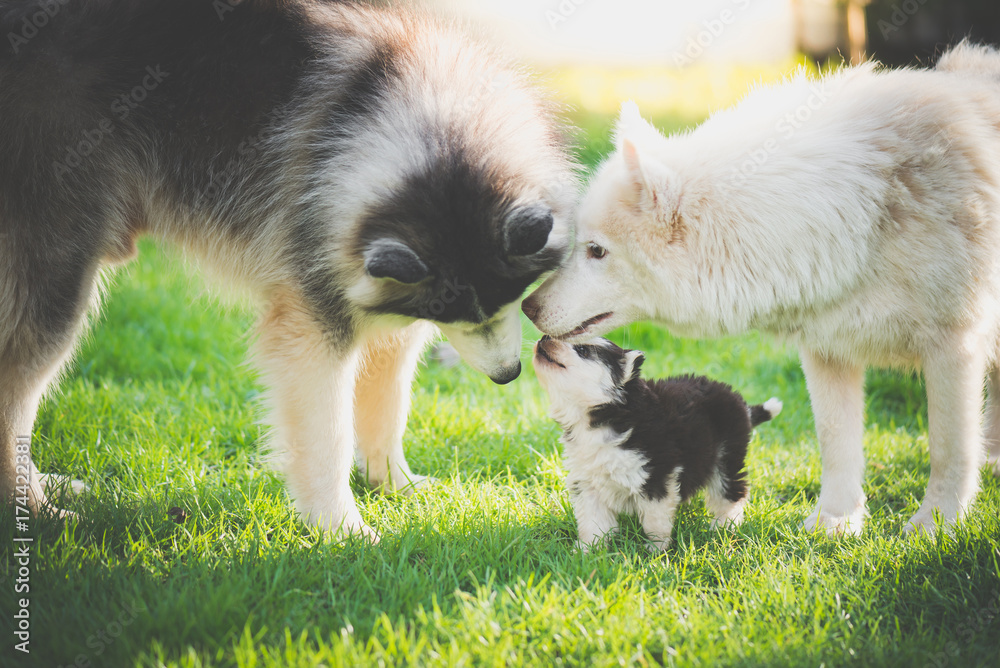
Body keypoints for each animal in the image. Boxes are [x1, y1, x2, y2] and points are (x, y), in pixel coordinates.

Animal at [532, 336, 780, 552]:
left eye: (582, 349)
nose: (544, 337)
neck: (604, 413)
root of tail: (743, 406)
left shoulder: (656, 477)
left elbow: (655, 520)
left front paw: (655, 550)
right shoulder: (588, 484)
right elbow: (593, 523)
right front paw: (587, 551)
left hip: (727, 457)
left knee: (731, 493)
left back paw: (724, 526)